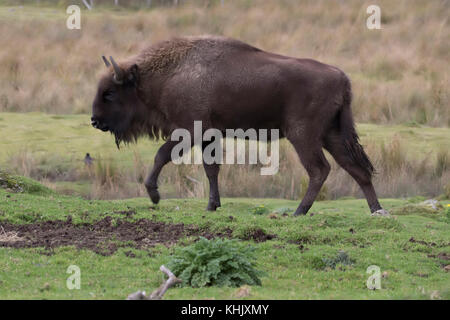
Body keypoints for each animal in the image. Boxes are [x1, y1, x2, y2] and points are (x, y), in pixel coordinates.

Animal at [90, 35, 386, 215]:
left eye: (110, 93)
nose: (94, 120)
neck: (169, 75)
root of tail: (342, 78)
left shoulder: (188, 131)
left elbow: (162, 155)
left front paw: (153, 195)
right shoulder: (208, 135)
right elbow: (211, 168)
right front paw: (212, 205)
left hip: (303, 136)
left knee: (320, 170)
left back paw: (298, 212)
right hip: (331, 135)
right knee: (357, 169)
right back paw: (377, 210)